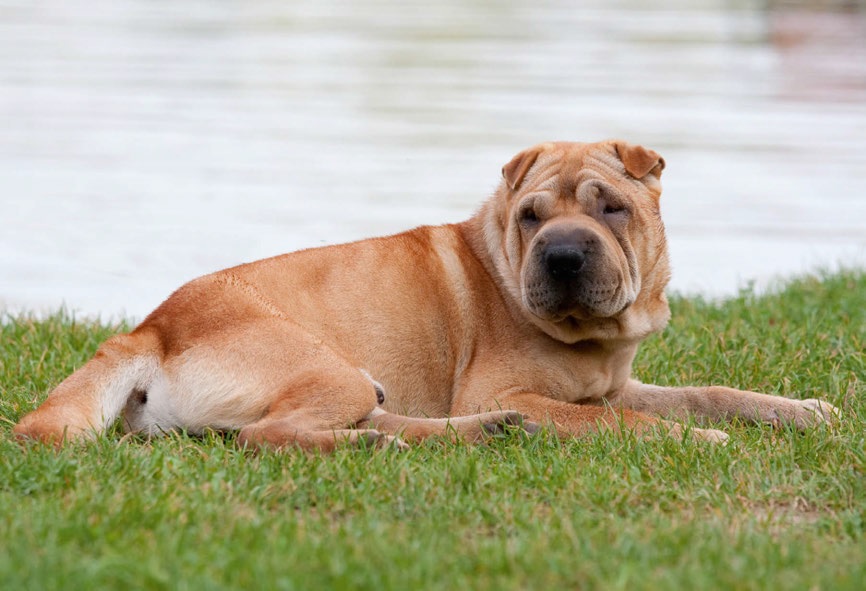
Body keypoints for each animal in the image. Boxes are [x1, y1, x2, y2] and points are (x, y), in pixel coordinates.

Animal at [11, 141, 836, 450]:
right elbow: (619, 423)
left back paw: (483, 431)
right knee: (265, 436)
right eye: (532, 216)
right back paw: (386, 443)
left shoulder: (617, 383)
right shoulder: (538, 393)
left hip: (355, 377)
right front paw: (692, 440)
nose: (563, 252)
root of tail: (147, 328)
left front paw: (802, 411)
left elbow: (709, 390)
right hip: (327, 365)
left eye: (611, 208)